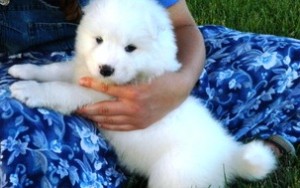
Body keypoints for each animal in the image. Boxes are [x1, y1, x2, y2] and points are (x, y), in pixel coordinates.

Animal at [8, 0, 276, 187]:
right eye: (98, 40)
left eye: (130, 48)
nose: (105, 69)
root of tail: (230, 155)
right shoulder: (80, 70)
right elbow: (55, 69)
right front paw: (23, 69)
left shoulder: (98, 96)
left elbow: (61, 89)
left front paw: (28, 89)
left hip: (174, 176)